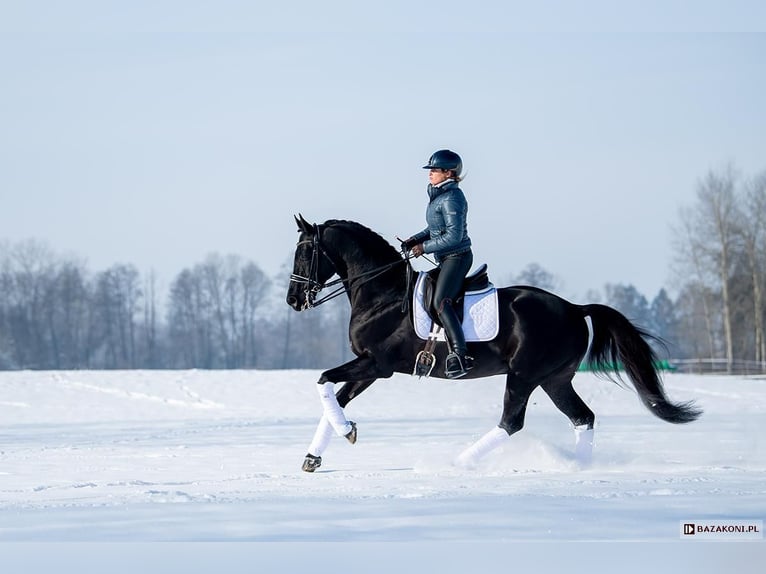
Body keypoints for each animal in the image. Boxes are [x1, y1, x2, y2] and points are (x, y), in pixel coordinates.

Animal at [288, 215, 704, 472]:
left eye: (306, 252)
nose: (293, 300)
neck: (383, 295)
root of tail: (573, 308)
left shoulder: (378, 365)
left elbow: (324, 381)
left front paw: (347, 432)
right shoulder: (370, 367)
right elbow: (335, 396)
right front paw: (315, 455)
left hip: (524, 375)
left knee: (512, 421)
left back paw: (459, 462)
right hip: (554, 379)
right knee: (582, 417)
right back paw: (579, 466)